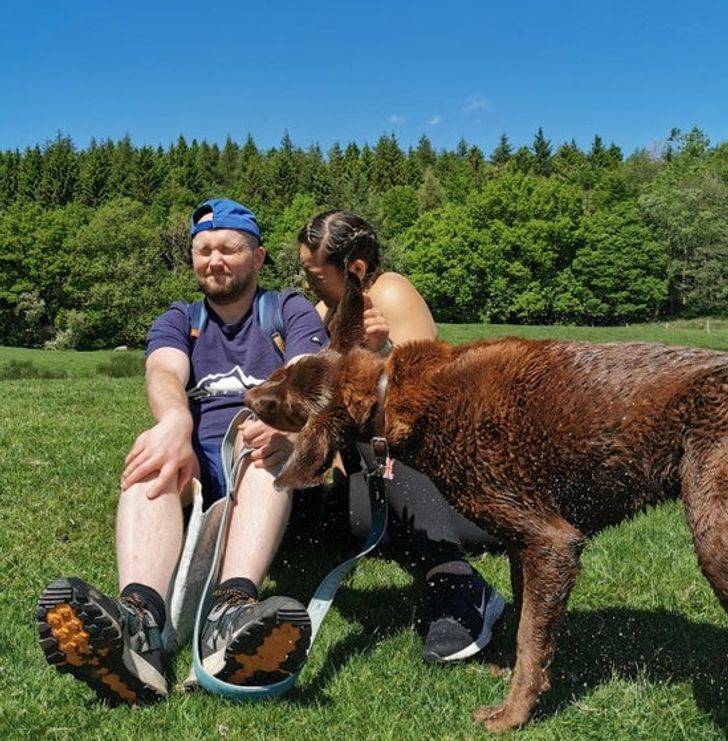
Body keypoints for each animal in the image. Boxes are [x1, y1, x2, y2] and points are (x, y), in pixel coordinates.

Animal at [246, 276, 728, 728]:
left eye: (282, 403)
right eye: (283, 372)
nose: (248, 396)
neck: (391, 397)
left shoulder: (552, 542)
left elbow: (530, 637)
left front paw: (513, 713)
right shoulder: (524, 545)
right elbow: (525, 622)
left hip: (712, 535)